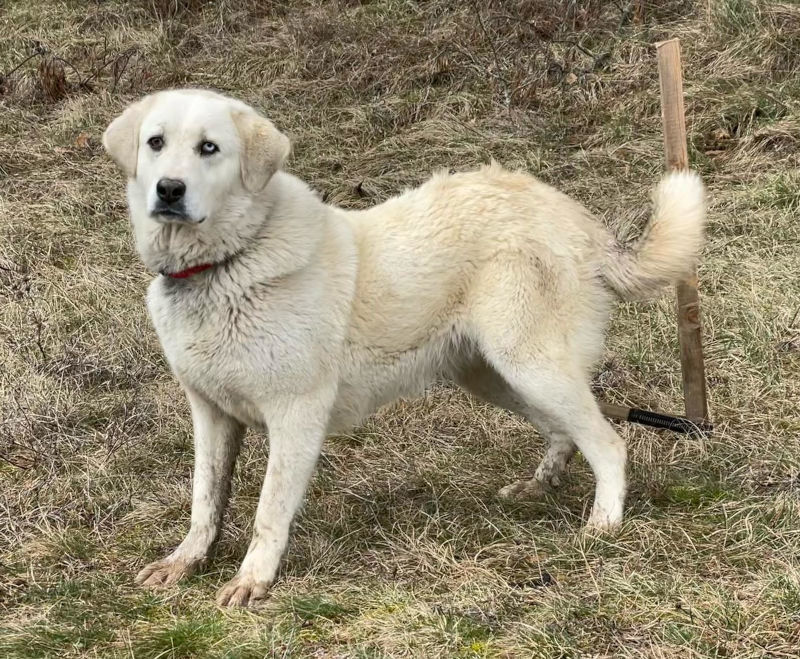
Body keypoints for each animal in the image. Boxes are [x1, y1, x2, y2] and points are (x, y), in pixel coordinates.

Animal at [101, 89, 708, 608]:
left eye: (210, 148)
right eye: (156, 142)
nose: (169, 190)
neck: (228, 262)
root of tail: (580, 221)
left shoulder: (294, 416)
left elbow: (268, 511)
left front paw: (253, 581)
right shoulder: (212, 415)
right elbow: (205, 501)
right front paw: (185, 563)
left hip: (531, 366)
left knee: (608, 442)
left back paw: (603, 524)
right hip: (496, 375)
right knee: (565, 431)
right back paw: (540, 485)